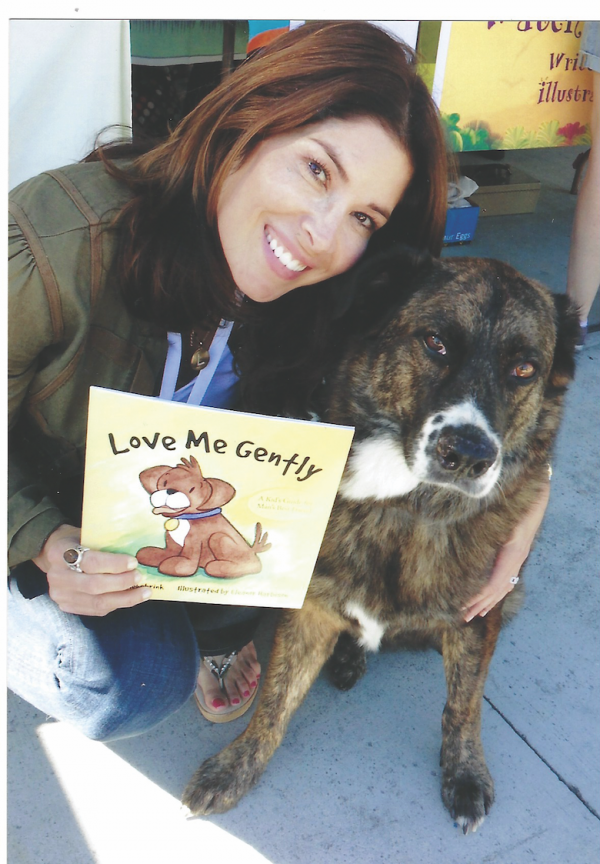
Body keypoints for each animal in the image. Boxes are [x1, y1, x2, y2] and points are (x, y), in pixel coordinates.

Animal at [136, 455, 270, 577]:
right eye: (164, 482)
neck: (185, 519)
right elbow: (166, 553)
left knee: (251, 566)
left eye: (191, 489)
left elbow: (186, 562)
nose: (170, 490)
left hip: (219, 538)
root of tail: (252, 551)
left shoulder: (194, 542)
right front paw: (151, 554)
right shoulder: (173, 545)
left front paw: (176, 565)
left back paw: (220, 567)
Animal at [181, 250, 579, 833]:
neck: (406, 508)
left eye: (524, 368)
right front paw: (236, 766)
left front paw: (465, 774)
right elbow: (276, 699)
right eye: (435, 342)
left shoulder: (479, 616)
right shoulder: (309, 607)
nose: (468, 454)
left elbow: (464, 705)